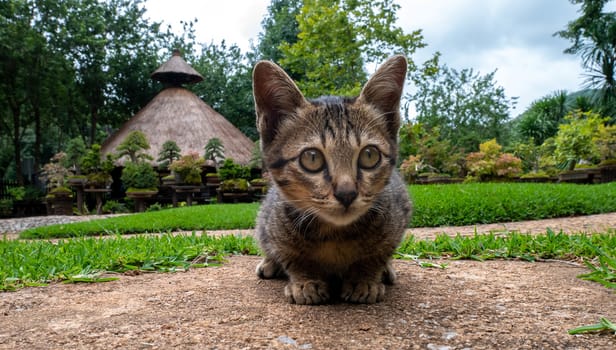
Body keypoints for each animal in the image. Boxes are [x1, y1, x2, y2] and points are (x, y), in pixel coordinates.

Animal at [250, 54, 414, 304]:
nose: (346, 193)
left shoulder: (396, 221)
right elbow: (292, 256)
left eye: (369, 155)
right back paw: (270, 264)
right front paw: (306, 282)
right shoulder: (275, 226)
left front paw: (364, 280)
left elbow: (376, 255)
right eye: (312, 158)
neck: (335, 234)